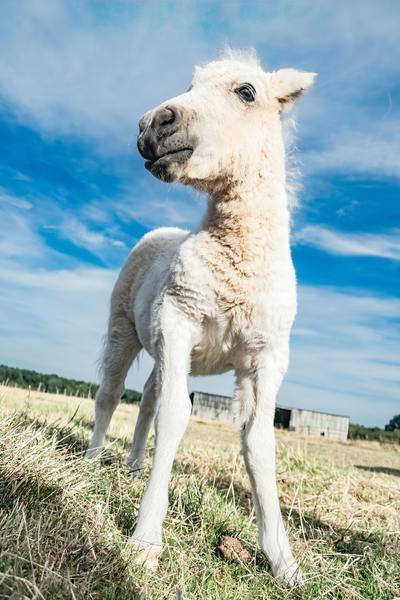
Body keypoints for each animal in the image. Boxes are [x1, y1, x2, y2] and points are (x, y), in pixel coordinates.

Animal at [86, 50, 316, 584]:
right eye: (189, 85)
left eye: (246, 92)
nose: (152, 124)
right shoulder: (179, 321)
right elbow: (176, 416)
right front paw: (145, 542)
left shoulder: (265, 357)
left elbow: (259, 443)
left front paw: (284, 562)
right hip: (125, 327)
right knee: (111, 394)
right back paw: (92, 460)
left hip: (165, 347)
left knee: (147, 398)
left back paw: (133, 467)